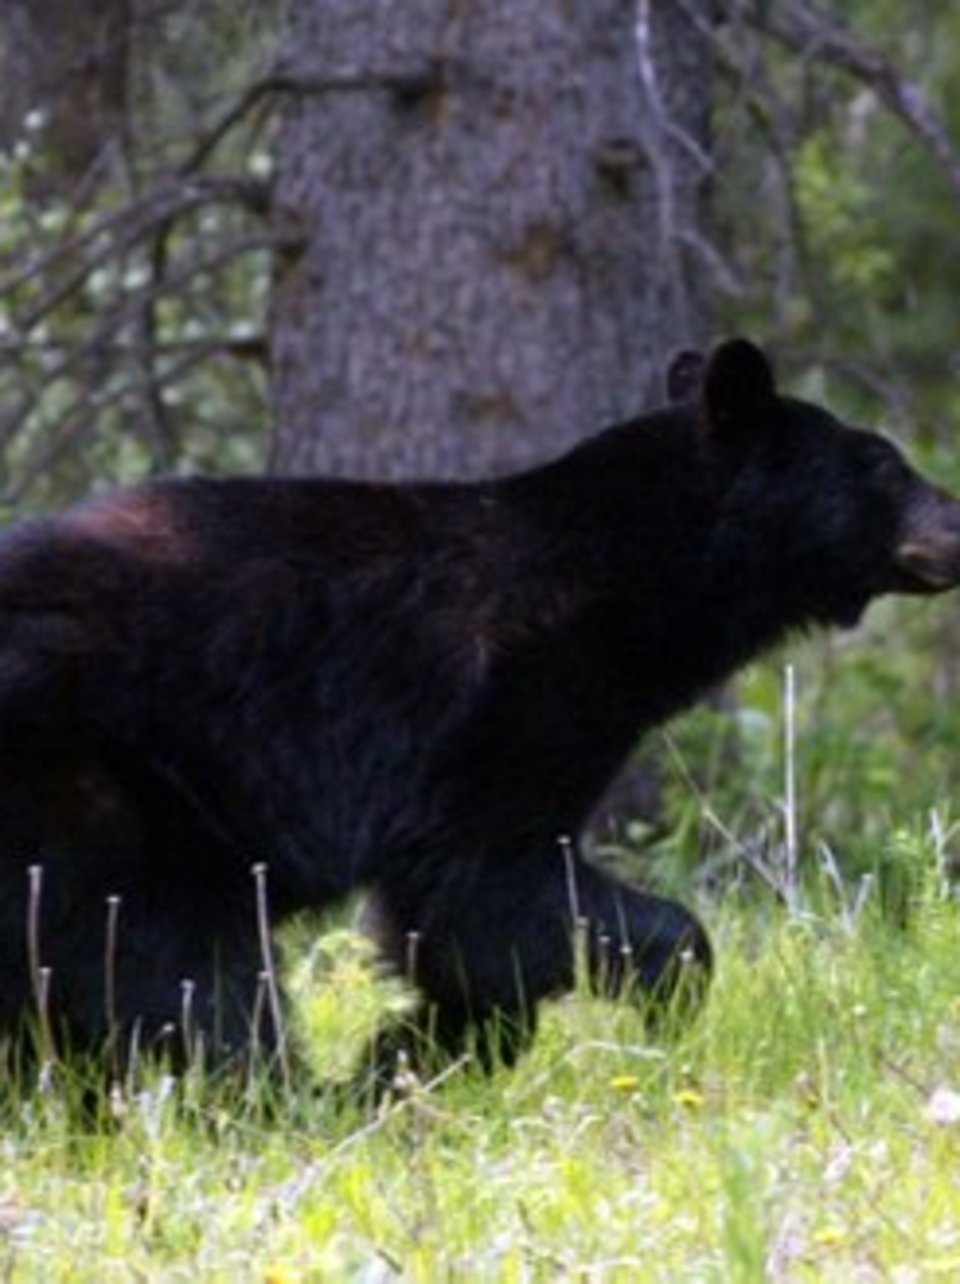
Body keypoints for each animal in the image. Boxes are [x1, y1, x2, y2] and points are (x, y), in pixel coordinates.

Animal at [0, 336, 958, 1090]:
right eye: (882, 464)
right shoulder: (499, 711)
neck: (619, 578)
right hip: (109, 793)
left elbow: (457, 939)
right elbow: (481, 893)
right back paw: (276, 1100)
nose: (956, 523)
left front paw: (417, 1051)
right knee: (181, 970)